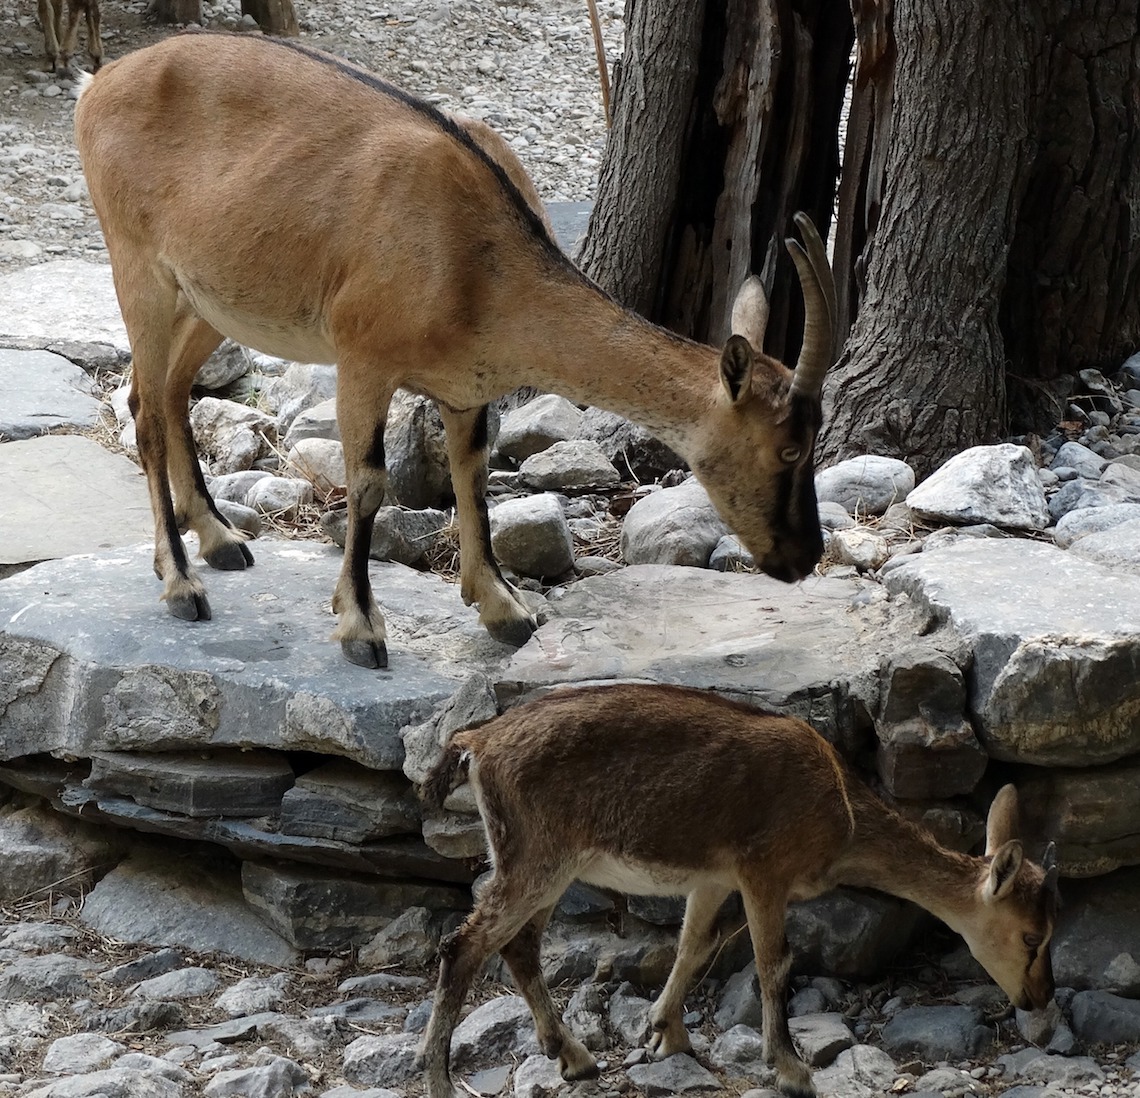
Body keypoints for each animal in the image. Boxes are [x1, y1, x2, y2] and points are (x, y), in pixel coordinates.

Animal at [73, 34, 839, 670]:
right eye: (789, 449)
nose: (803, 557)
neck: (475, 259)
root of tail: (97, 84)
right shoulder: (363, 355)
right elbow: (369, 481)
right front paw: (362, 628)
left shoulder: (467, 384)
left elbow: (473, 475)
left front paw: (504, 609)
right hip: (137, 265)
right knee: (146, 411)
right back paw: (181, 583)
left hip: (210, 298)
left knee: (166, 393)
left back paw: (222, 541)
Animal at [419, 688, 1057, 1098]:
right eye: (1031, 935)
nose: (1039, 999)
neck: (843, 820)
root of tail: (475, 743)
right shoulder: (763, 867)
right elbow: (773, 962)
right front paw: (792, 1070)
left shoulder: (714, 876)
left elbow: (693, 946)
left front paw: (666, 1035)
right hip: (537, 854)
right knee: (463, 944)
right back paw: (442, 1081)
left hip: (543, 861)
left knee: (518, 944)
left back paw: (575, 1059)